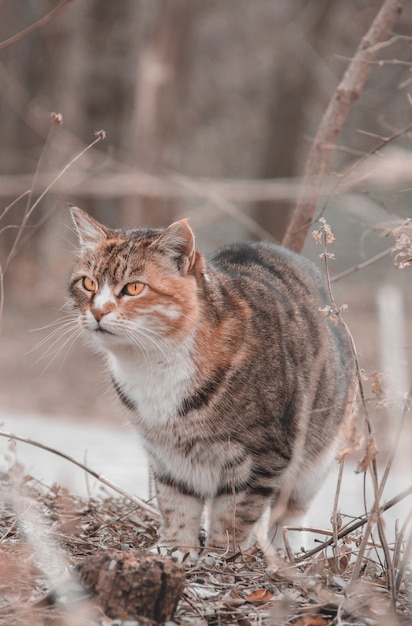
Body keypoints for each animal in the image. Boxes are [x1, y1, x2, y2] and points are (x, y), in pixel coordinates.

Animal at [67, 207, 354, 560]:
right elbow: (177, 501)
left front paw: (220, 553)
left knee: (291, 511)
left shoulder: (261, 454)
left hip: (318, 453)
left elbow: (235, 511)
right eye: (88, 283)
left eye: (133, 288)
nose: (97, 312)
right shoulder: (166, 455)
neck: (153, 365)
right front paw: (177, 548)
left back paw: (287, 551)